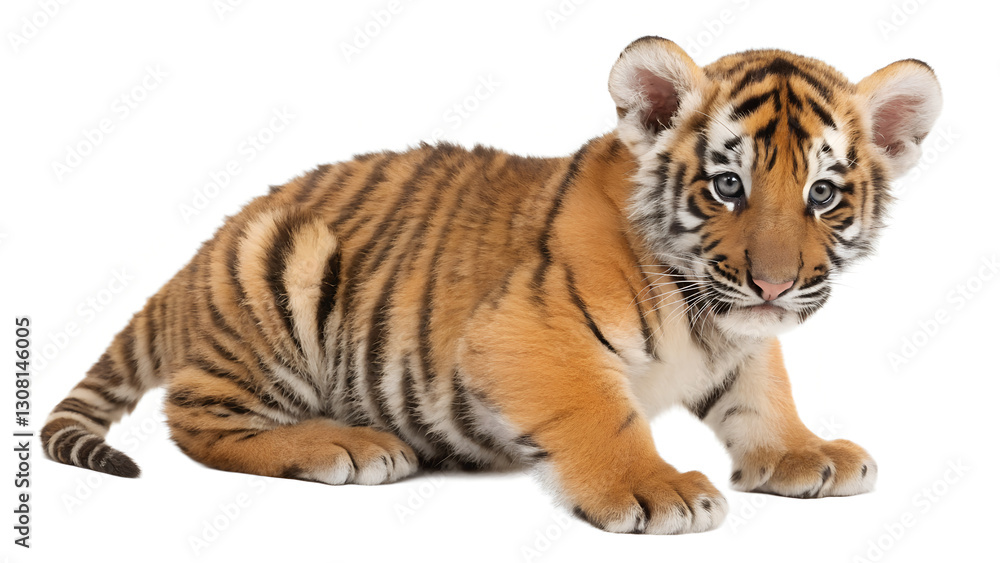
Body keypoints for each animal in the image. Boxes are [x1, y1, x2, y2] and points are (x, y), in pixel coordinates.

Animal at [42, 36, 941, 534]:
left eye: (821, 194)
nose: (774, 284)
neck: (707, 313)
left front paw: (804, 453)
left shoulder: (742, 343)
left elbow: (763, 393)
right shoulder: (525, 334)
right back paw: (345, 444)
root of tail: (205, 246)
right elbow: (602, 414)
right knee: (196, 420)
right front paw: (655, 489)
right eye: (728, 186)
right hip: (282, 267)